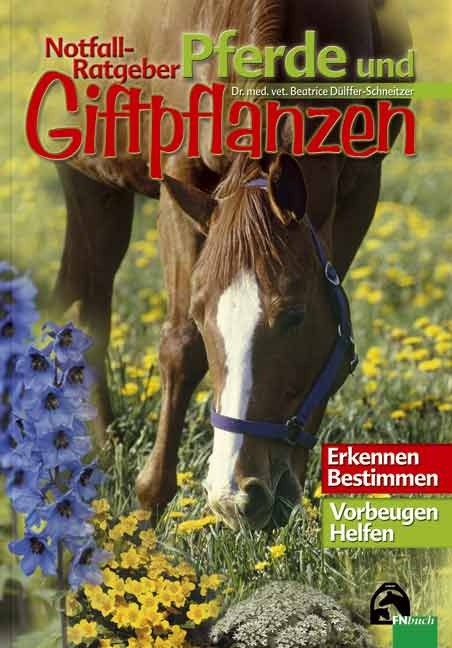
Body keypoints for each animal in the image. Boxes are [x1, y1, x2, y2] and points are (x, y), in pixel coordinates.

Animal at [52, 0, 412, 529]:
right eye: (203, 315)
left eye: (294, 317)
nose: (236, 496)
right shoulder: (179, 184)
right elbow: (180, 346)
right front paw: (150, 499)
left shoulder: (358, 192)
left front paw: (294, 494)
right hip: (85, 176)